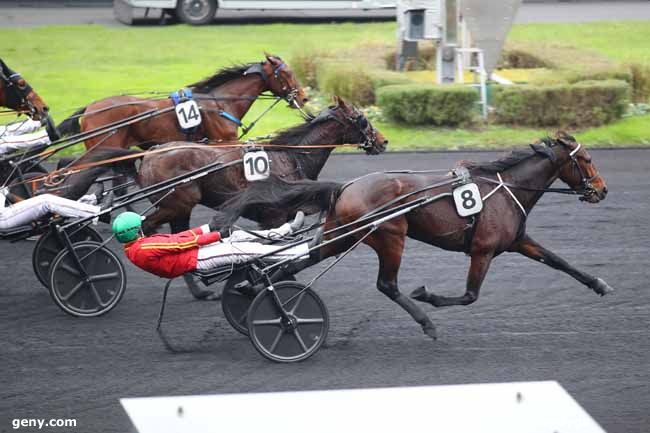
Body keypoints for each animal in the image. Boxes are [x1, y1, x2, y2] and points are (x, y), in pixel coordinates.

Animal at [216, 132, 612, 338]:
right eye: (587, 159)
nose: (602, 190)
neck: (503, 188)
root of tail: (346, 186)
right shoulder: (482, 250)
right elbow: (469, 295)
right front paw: (428, 296)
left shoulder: (517, 241)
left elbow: (559, 261)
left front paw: (599, 284)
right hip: (389, 235)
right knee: (386, 285)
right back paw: (425, 322)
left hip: (341, 235)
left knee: (295, 263)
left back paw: (252, 290)